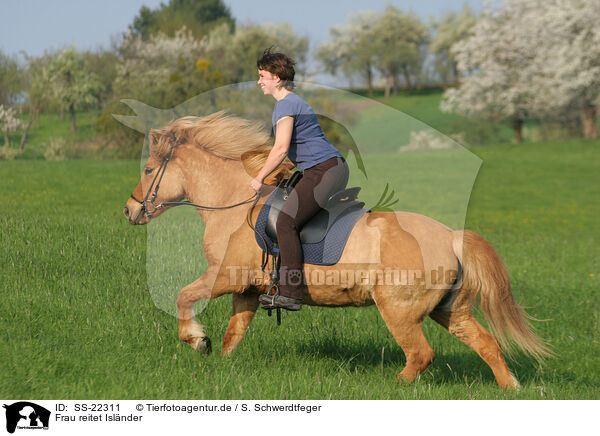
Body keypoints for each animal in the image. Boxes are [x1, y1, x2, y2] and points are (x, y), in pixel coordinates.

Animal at [124, 110, 552, 388]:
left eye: (148, 170)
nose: (130, 210)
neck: (235, 206)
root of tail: (451, 236)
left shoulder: (224, 276)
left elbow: (184, 297)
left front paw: (197, 340)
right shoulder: (247, 290)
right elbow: (234, 335)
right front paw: (221, 362)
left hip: (399, 311)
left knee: (420, 355)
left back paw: (393, 387)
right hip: (450, 310)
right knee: (487, 345)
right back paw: (511, 388)